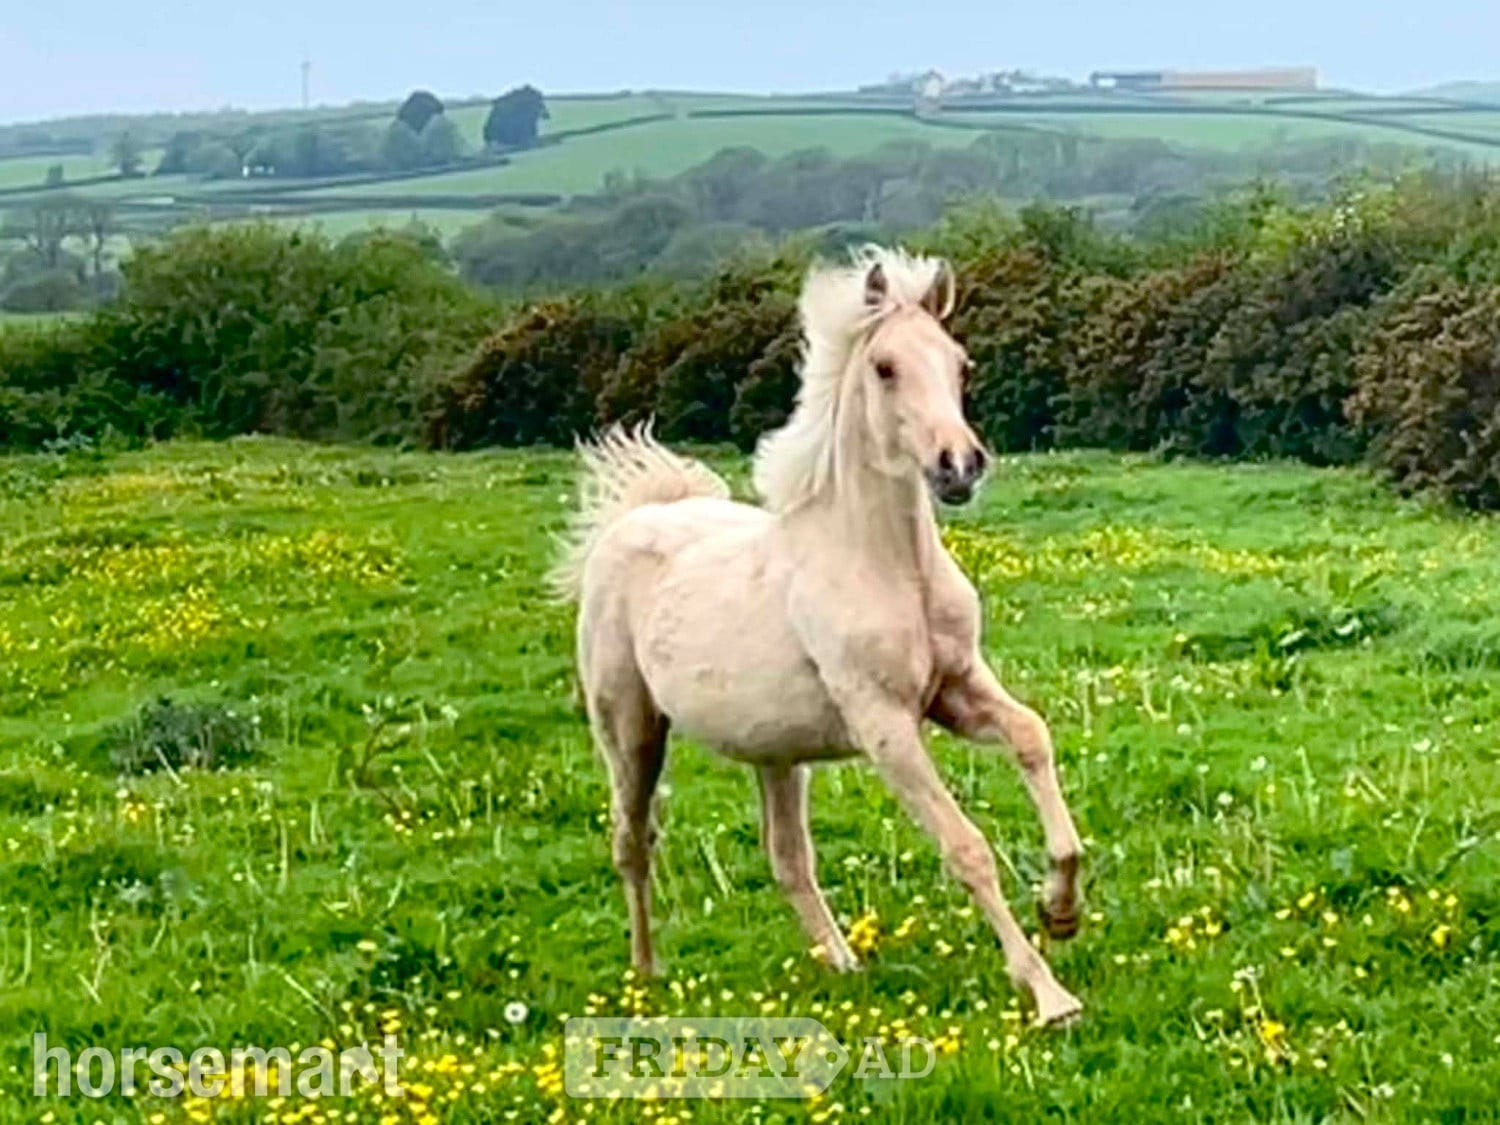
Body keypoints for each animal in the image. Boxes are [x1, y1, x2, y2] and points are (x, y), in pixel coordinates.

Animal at [552, 247, 1085, 1025]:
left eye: (960, 364)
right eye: (885, 367)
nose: (959, 466)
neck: (886, 565)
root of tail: (632, 519)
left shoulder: (957, 688)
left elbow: (1032, 736)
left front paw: (1062, 909)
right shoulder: (884, 724)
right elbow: (966, 846)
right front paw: (1048, 992)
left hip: (774, 751)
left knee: (786, 858)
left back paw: (843, 962)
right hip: (629, 728)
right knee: (632, 840)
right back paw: (646, 974)